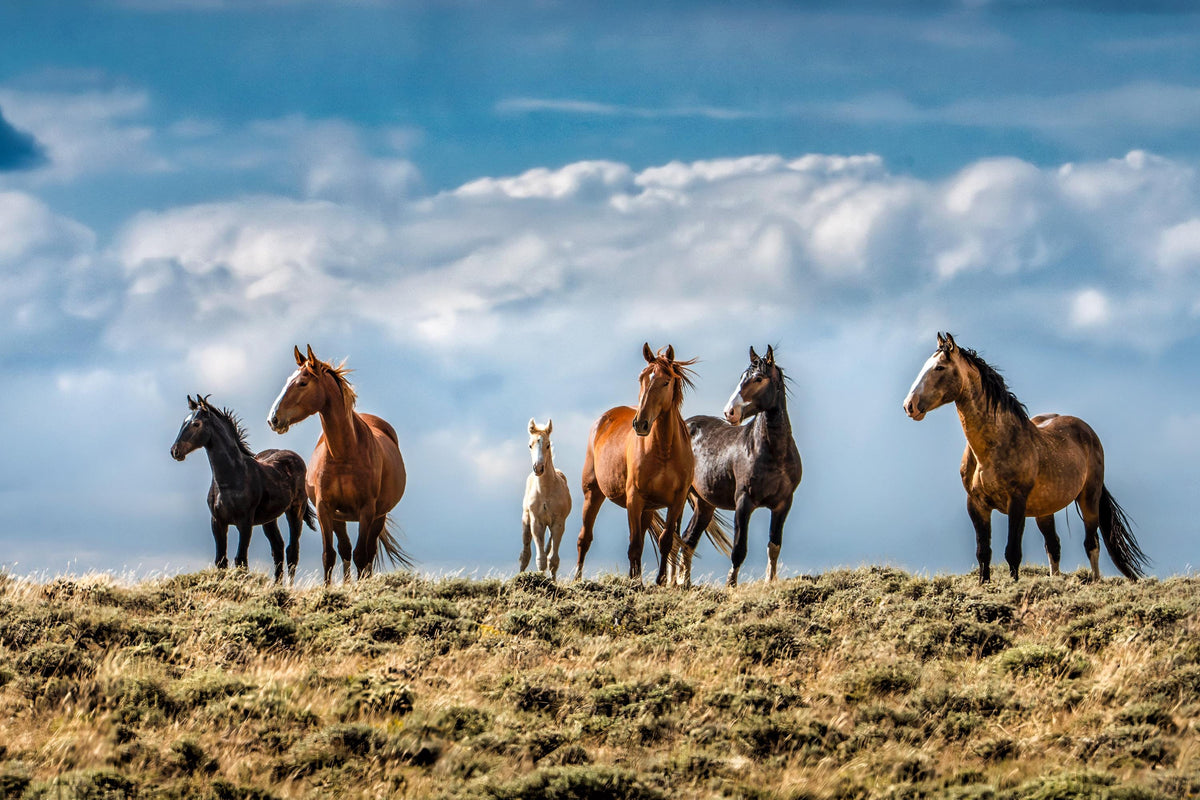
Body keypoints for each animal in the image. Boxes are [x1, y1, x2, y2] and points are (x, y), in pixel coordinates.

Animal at [171, 394, 314, 584]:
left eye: (196, 424)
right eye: (183, 422)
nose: (175, 451)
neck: (231, 480)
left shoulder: (245, 523)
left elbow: (241, 560)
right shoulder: (218, 522)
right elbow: (221, 560)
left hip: (295, 510)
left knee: (292, 550)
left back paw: (288, 586)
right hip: (269, 519)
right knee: (277, 548)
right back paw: (277, 586)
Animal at [267, 345, 409, 585]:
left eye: (302, 383)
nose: (273, 419)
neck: (344, 454)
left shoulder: (367, 511)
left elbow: (361, 555)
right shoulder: (325, 509)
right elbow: (330, 555)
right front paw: (329, 589)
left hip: (378, 516)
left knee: (368, 553)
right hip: (339, 518)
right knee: (344, 549)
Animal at [520, 418, 572, 581]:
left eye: (548, 444)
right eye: (530, 445)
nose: (538, 468)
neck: (546, 492)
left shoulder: (558, 523)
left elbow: (553, 560)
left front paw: (552, 582)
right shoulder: (536, 522)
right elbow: (541, 560)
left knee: (548, 549)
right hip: (526, 520)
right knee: (525, 554)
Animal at [679, 346, 803, 587]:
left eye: (758, 378)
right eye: (741, 378)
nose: (730, 412)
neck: (773, 453)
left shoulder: (783, 504)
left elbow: (774, 546)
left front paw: (770, 581)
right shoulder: (744, 502)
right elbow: (738, 550)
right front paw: (731, 586)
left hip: (704, 504)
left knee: (687, 540)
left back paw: (682, 583)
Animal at [903, 332, 1149, 583]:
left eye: (939, 367)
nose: (909, 406)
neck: (990, 449)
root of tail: (1087, 432)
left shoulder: (1017, 503)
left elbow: (1012, 551)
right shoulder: (976, 504)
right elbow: (983, 552)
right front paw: (984, 584)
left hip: (1089, 498)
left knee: (1091, 543)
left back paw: (1095, 581)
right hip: (1045, 509)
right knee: (1054, 546)